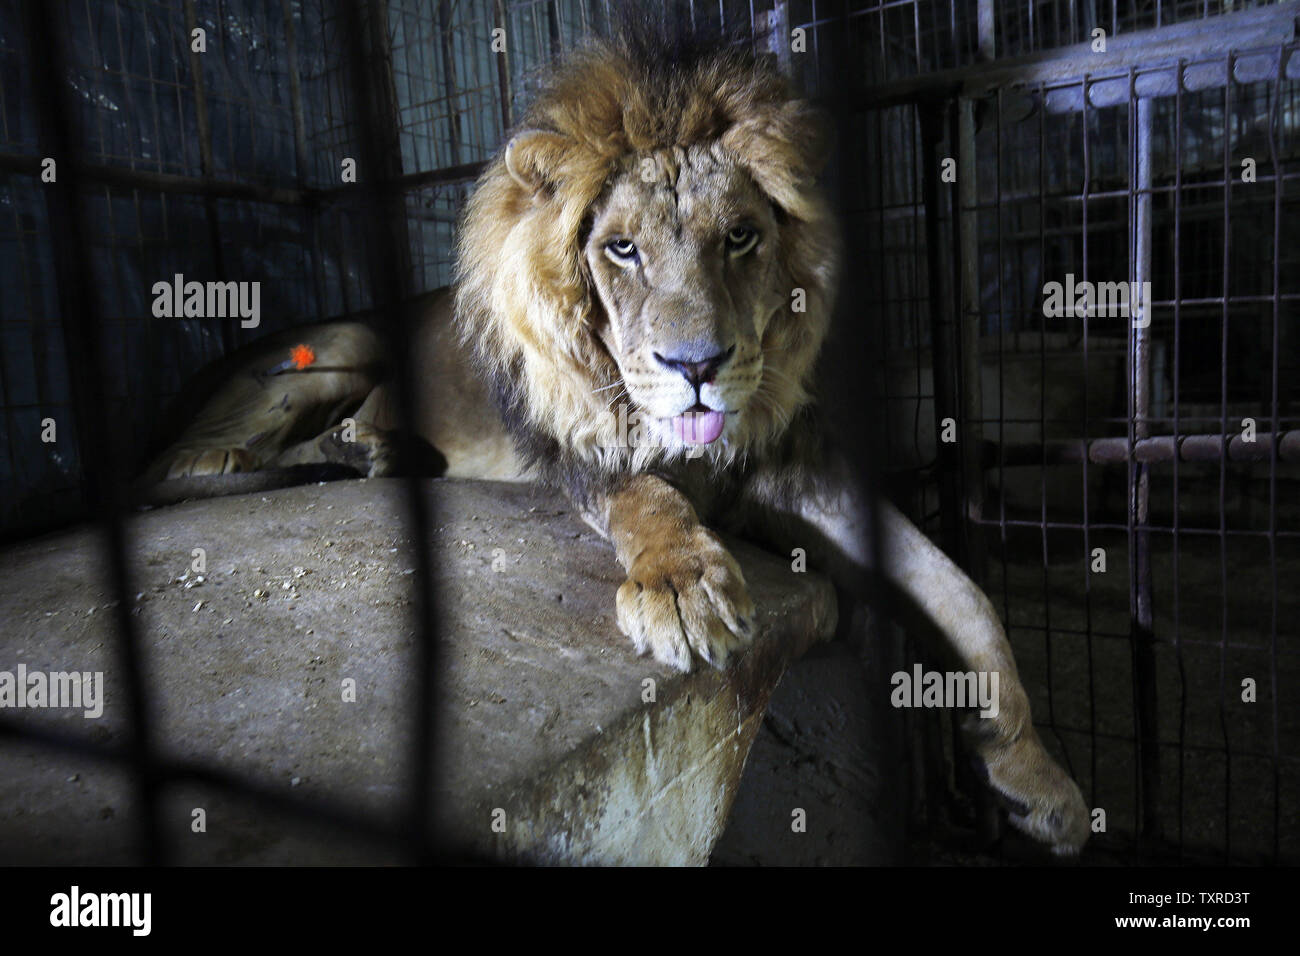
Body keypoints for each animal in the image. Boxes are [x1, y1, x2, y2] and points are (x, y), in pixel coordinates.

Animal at [139, 24, 1089, 855]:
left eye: (740, 236)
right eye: (622, 249)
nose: (697, 364)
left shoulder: (802, 473)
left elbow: (965, 595)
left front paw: (1036, 777)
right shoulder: (578, 454)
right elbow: (647, 494)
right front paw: (683, 585)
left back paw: (372, 452)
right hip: (342, 345)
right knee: (196, 458)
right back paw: (290, 455)